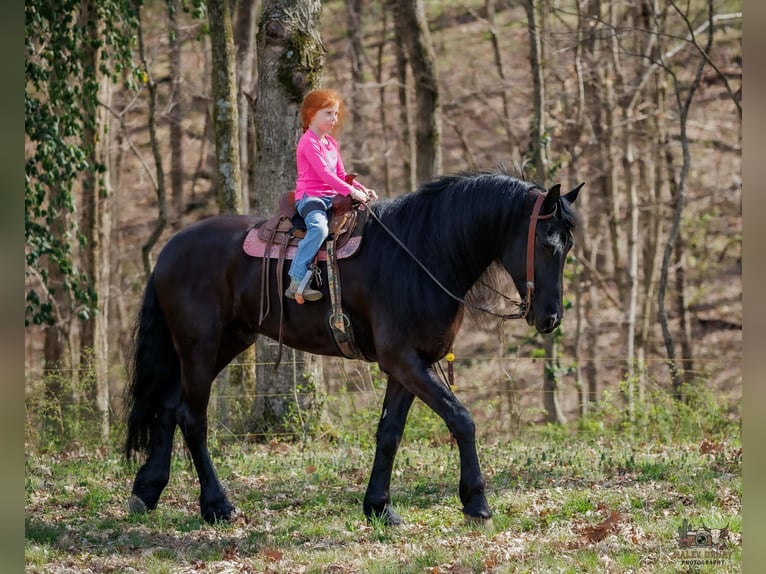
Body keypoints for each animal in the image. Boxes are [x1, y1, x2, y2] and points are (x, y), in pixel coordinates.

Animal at [124, 170, 582, 526]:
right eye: (546, 244)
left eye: (568, 246)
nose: (551, 317)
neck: (421, 255)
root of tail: (168, 251)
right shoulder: (407, 362)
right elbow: (462, 419)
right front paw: (476, 503)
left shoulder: (407, 366)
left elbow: (389, 433)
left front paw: (379, 507)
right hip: (200, 347)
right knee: (192, 418)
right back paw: (217, 505)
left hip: (224, 343)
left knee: (168, 408)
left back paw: (147, 491)